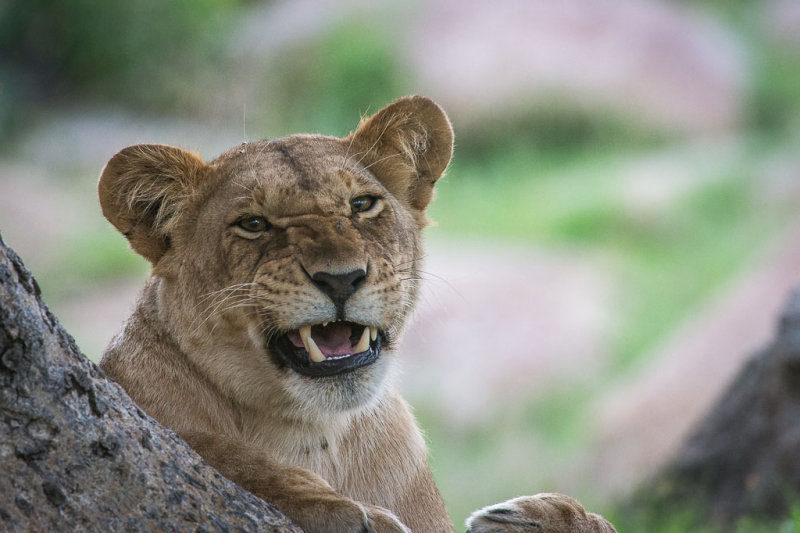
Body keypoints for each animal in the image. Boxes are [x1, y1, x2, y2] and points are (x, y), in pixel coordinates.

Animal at [98, 96, 612, 532]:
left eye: (362, 204)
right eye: (253, 224)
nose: (341, 278)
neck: (319, 434)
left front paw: (539, 517)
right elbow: (226, 455)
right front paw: (351, 513)